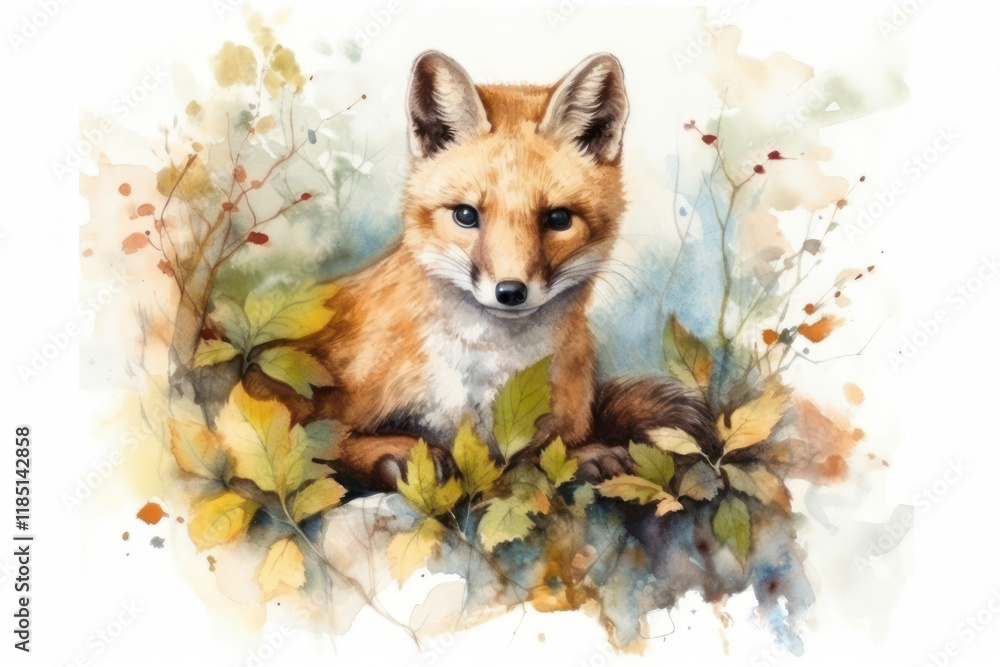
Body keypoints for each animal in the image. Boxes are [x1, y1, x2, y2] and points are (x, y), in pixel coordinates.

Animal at [242, 51, 717, 489]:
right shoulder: (277, 390)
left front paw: (585, 456)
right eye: (466, 215)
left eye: (558, 219)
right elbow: (317, 442)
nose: (510, 291)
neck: (489, 378)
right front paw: (399, 455)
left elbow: (548, 450)